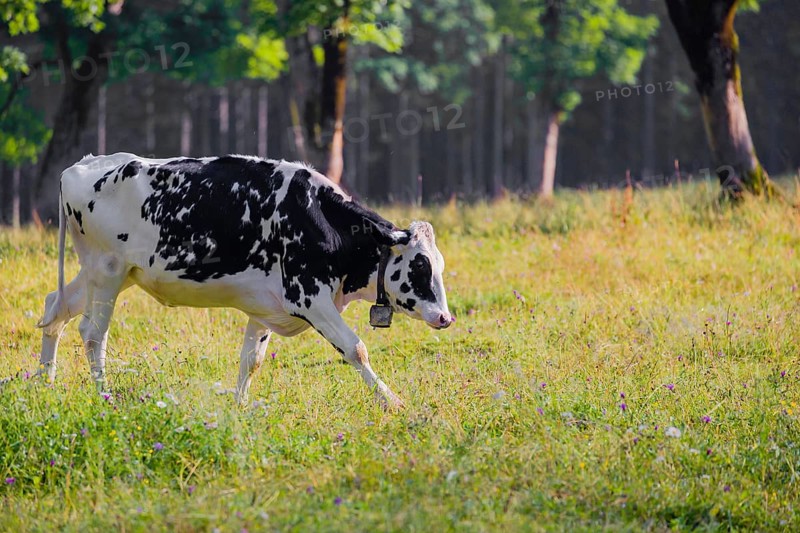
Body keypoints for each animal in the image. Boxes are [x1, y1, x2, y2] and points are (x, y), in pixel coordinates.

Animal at [35, 153, 452, 408]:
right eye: (419, 267)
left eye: (440, 265)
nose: (446, 318)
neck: (320, 219)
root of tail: (81, 166)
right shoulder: (309, 297)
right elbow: (356, 348)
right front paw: (392, 401)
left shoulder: (264, 307)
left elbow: (251, 359)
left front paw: (240, 407)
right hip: (108, 271)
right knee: (93, 333)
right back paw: (104, 396)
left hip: (104, 273)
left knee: (55, 309)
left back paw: (44, 382)